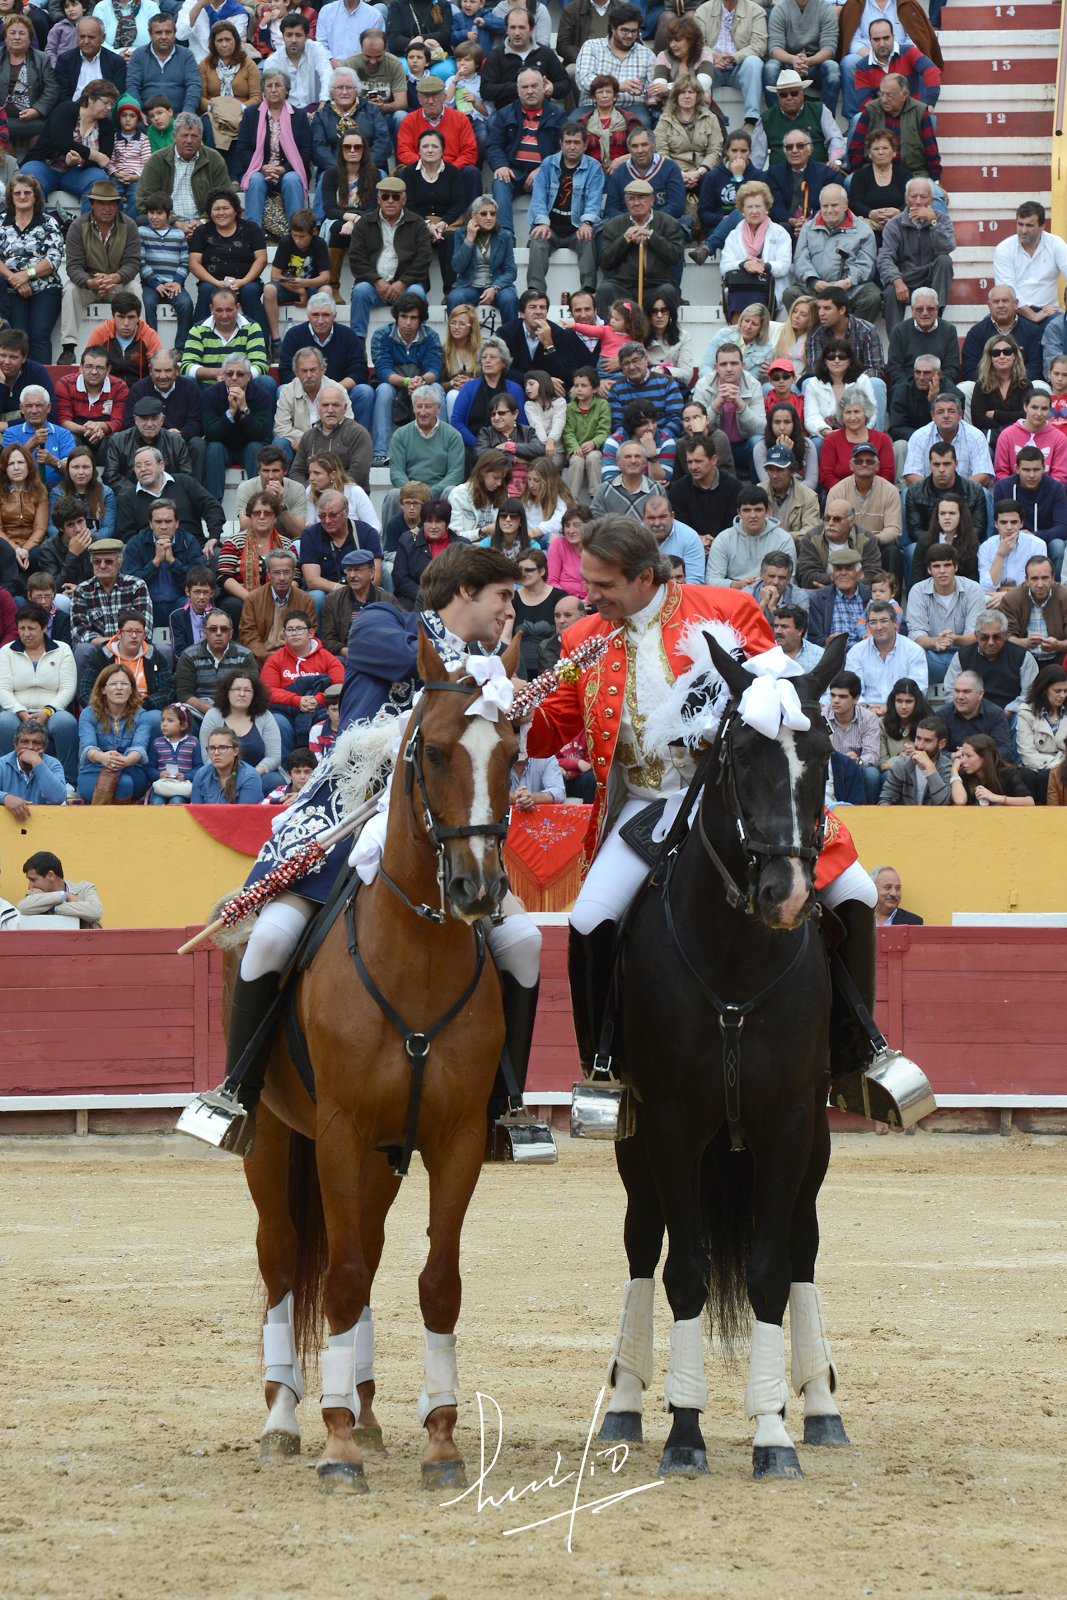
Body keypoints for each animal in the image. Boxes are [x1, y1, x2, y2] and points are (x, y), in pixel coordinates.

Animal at [234, 630, 521, 1494]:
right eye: (431, 751)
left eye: (514, 753)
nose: (475, 888)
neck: (414, 958)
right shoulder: (335, 1130)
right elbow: (339, 1274)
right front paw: (335, 1449)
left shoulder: (454, 1140)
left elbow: (435, 1281)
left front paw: (441, 1440)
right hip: (274, 1140)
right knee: (285, 1261)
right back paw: (286, 1417)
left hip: (381, 1157)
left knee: (360, 1250)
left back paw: (361, 1406)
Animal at [597, 633, 849, 1482]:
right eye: (738, 754)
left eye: (822, 750)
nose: (787, 891)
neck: (737, 959)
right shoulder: (671, 1122)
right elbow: (684, 1270)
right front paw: (684, 1430)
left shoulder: (788, 1122)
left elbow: (771, 1267)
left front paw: (772, 1434)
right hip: (635, 1140)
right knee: (643, 1242)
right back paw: (621, 1403)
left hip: (815, 1142)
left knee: (803, 1246)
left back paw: (821, 1406)